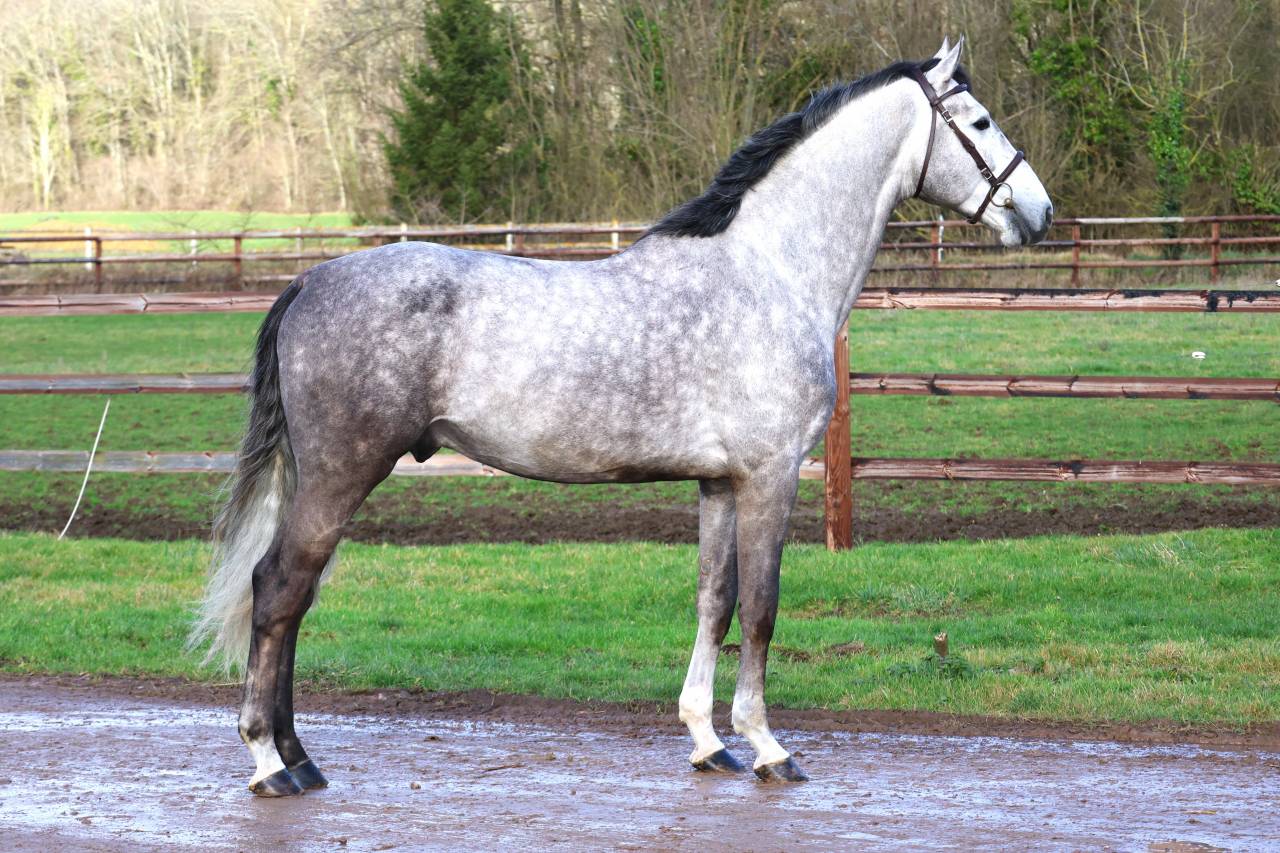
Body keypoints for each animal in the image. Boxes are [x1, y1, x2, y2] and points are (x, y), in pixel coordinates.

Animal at [190, 37, 1052, 796]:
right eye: (979, 123)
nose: (1038, 211)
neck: (767, 271)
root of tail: (310, 280)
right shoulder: (769, 475)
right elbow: (763, 608)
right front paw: (768, 745)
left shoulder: (718, 483)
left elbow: (715, 599)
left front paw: (708, 741)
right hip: (342, 471)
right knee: (279, 588)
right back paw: (269, 761)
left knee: (293, 597)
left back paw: (300, 756)